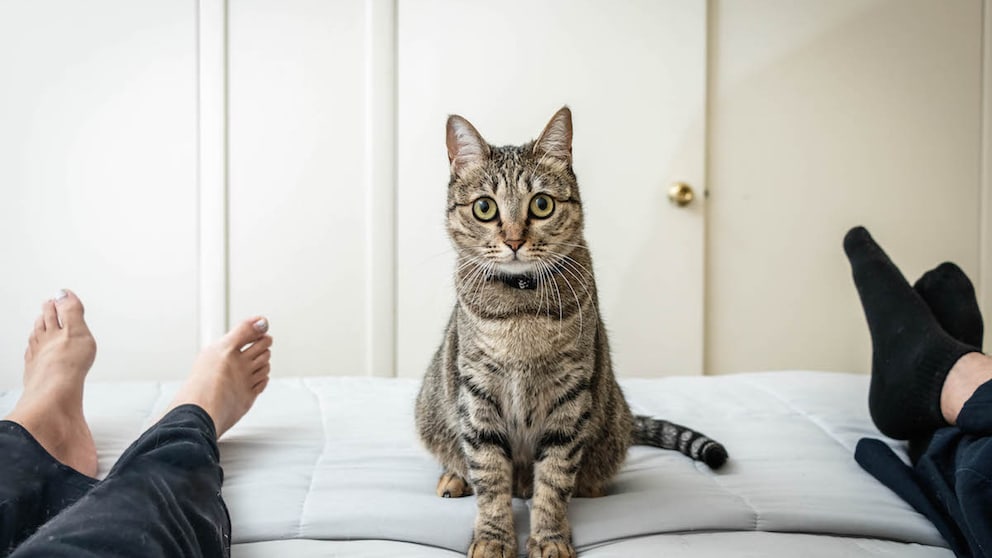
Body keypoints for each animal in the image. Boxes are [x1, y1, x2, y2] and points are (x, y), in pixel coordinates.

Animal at [412, 106, 728, 558]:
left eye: (541, 204)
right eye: (485, 208)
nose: (514, 240)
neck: (522, 305)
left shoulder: (570, 395)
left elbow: (554, 480)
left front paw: (549, 538)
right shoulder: (477, 392)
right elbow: (490, 476)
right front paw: (493, 538)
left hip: (610, 422)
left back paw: (587, 487)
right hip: (432, 407)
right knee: (461, 458)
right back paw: (455, 478)